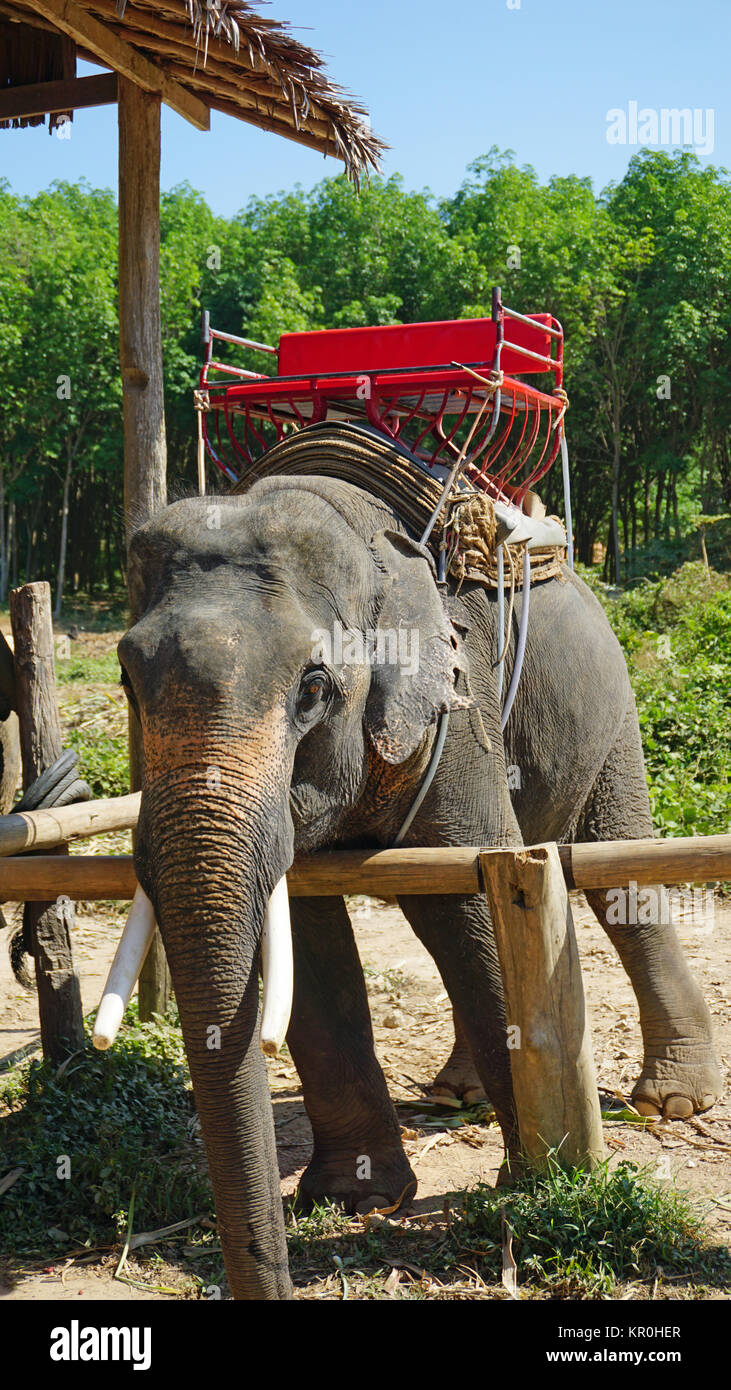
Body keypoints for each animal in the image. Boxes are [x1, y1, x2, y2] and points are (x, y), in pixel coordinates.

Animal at [118, 469, 722, 1301]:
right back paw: (456, 1094)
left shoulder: (454, 712)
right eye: (127, 678)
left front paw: (531, 1185)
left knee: (616, 872)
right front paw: (355, 1199)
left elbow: (472, 892)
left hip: (609, 708)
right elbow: (310, 938)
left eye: (313, 686)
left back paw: (673, 1099)